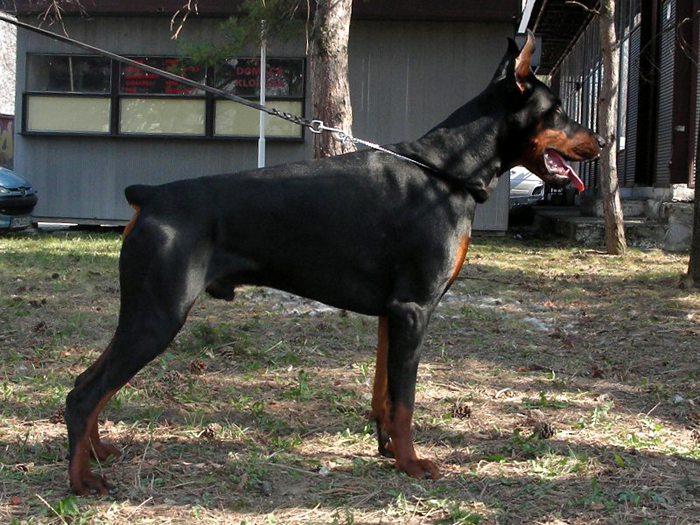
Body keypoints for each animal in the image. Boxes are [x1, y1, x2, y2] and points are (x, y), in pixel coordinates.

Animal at [65, 32, 604, 495]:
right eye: (557, 111)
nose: (601, 141)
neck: (446, 173)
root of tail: (150, 196)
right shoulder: (414, 307)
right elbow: (406, 401)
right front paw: (411, 464)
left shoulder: (394, 312)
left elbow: (386, 394)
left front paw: (386, 450)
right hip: (159, 314)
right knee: (84, 394)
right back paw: (81, 481)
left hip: (144, 311)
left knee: (88, 384)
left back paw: (96, 453)